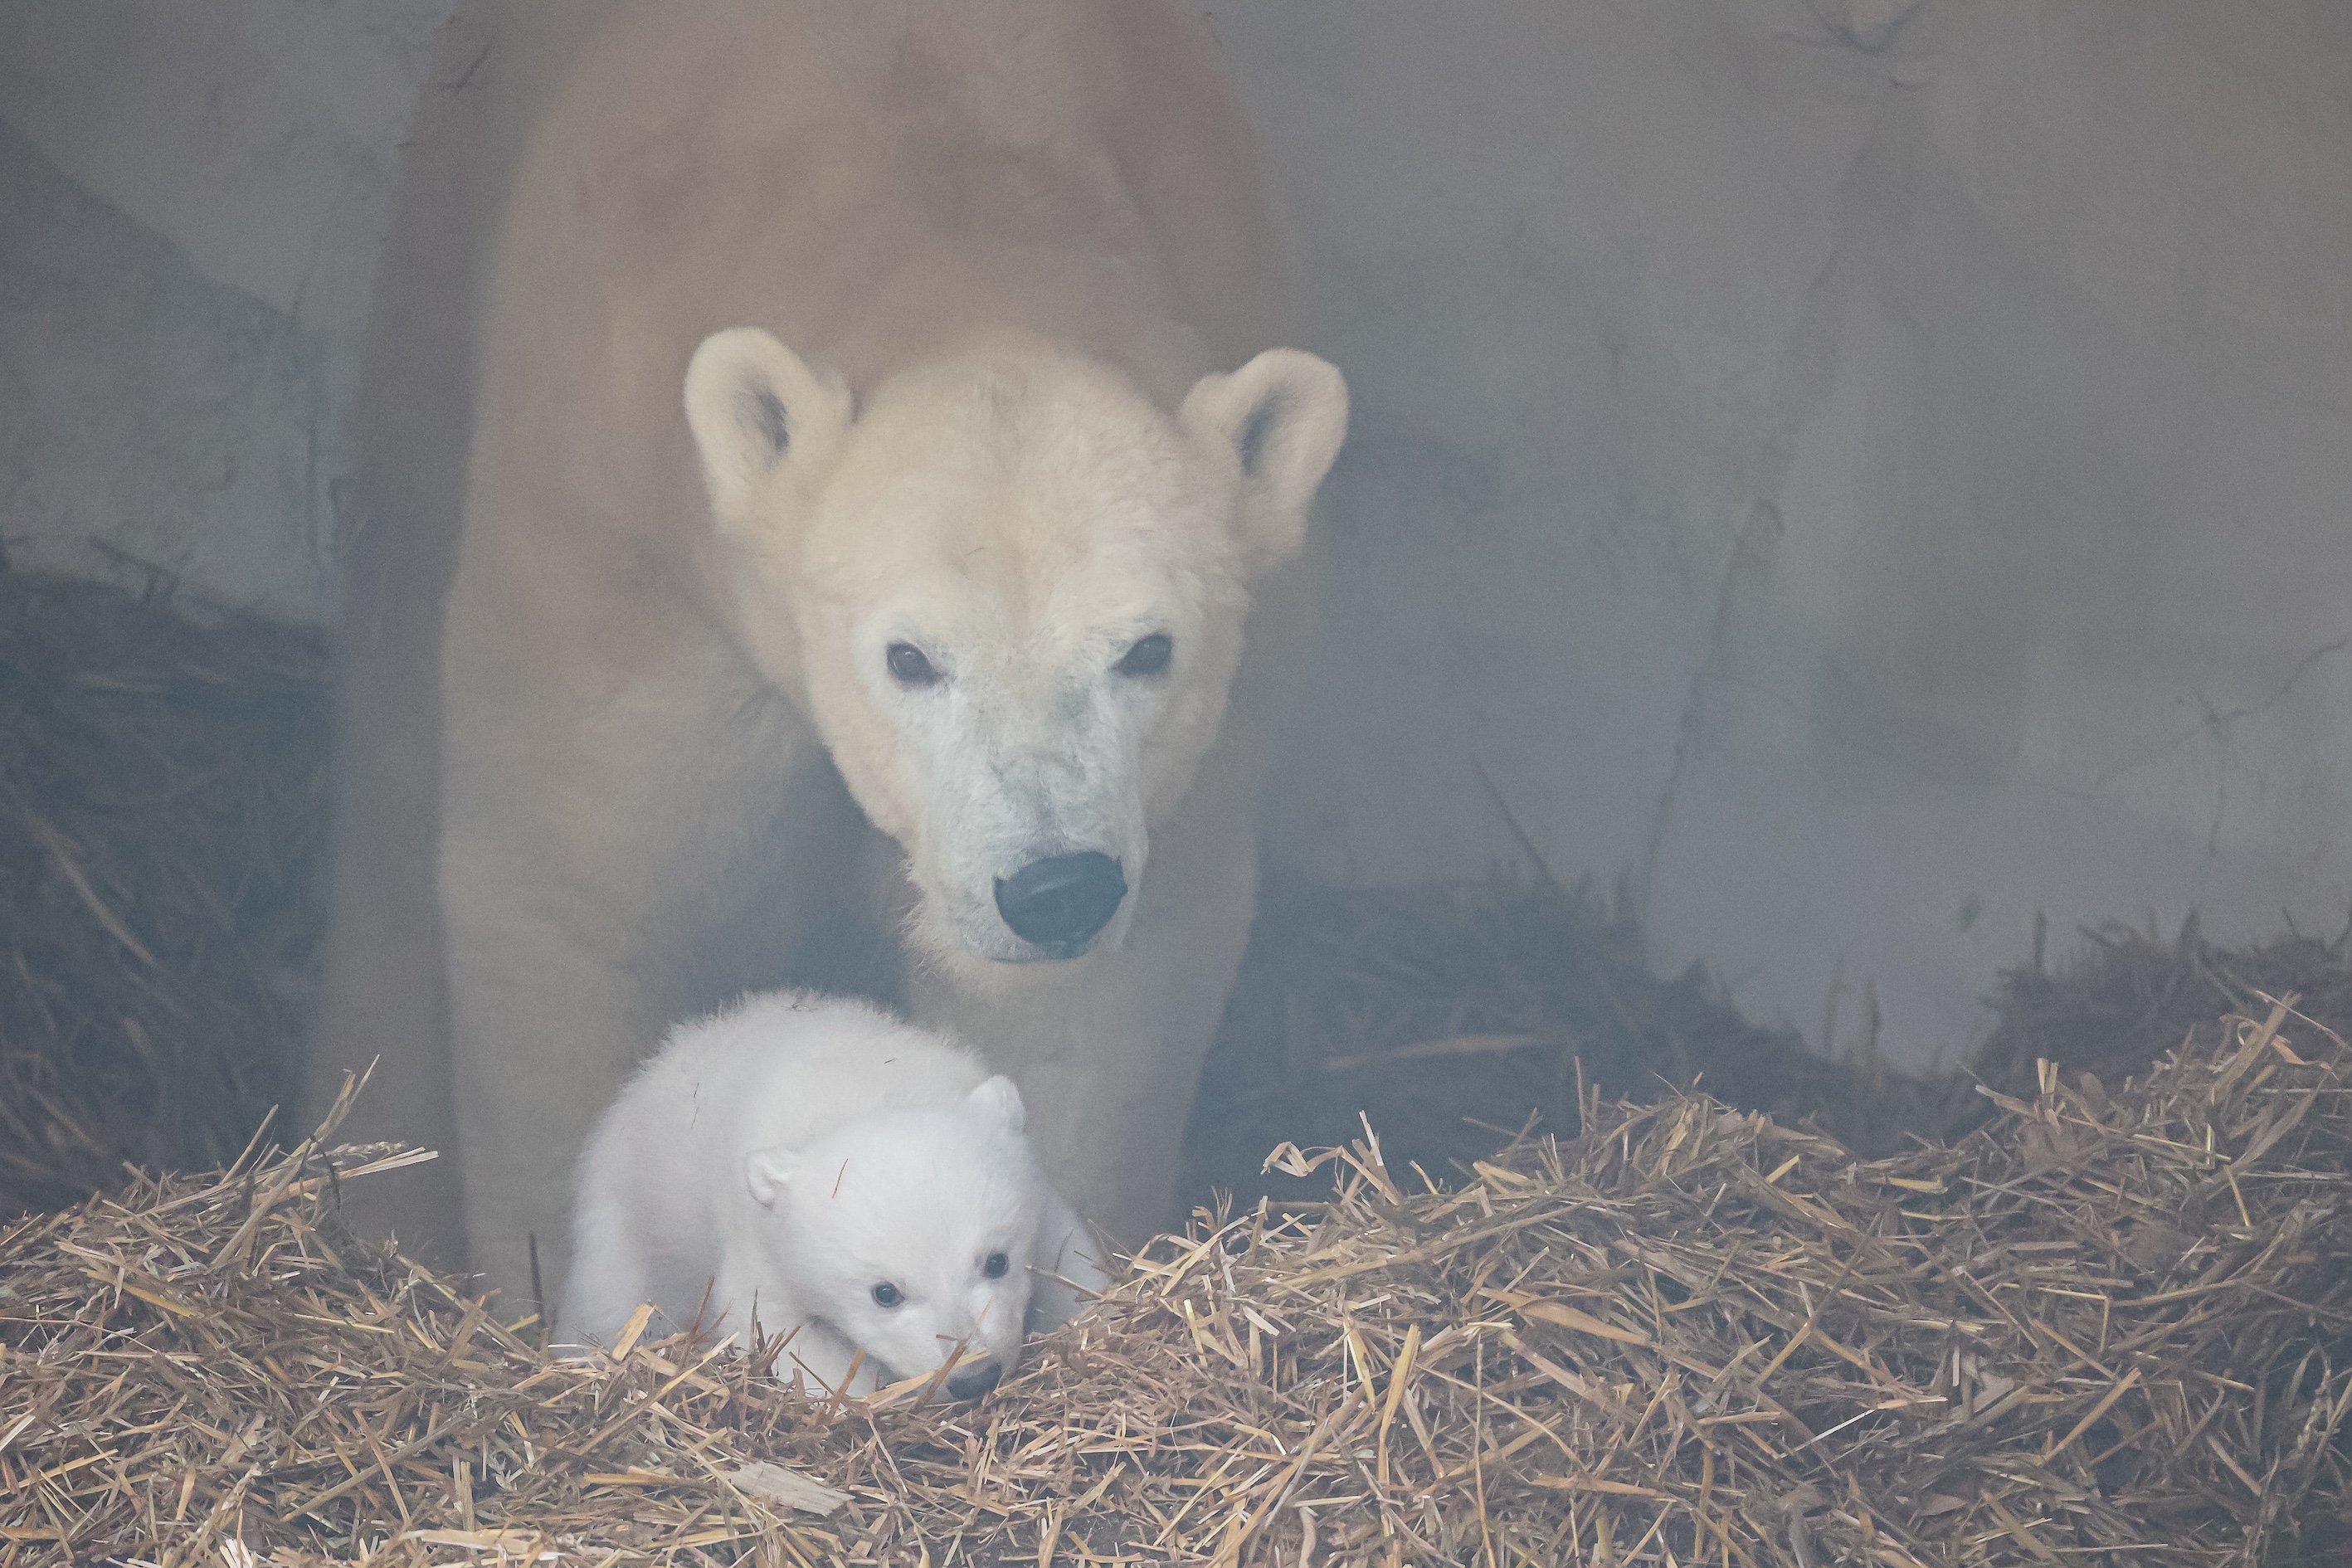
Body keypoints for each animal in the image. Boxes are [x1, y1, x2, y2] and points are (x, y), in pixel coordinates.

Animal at [310, 0, 1345, 1307]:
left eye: (1147, 648)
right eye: (908, 657)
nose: (1052, 887)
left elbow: (1088, 1019)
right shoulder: (625, 552)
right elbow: (582, 887)